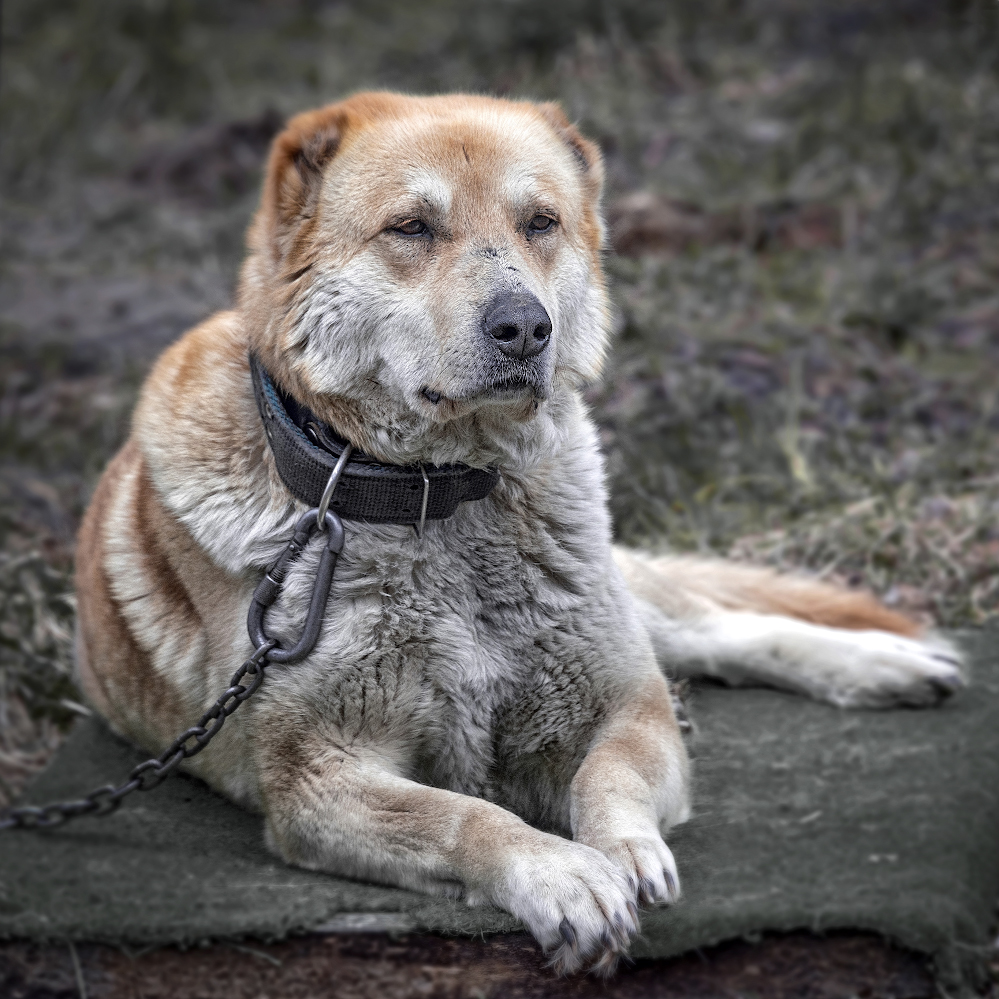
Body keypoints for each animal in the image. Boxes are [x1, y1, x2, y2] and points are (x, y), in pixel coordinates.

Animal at [70, 92, 960, 968]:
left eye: (540, 222)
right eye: (411, 228)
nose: (525, 328)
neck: (444, 496)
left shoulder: (623, 704)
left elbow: (609, 774)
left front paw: (623, 850)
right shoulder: (319, 777)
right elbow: (464, 816)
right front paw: (562, 876)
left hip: (614, 601)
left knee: (713, 629)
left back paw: (884, 664)